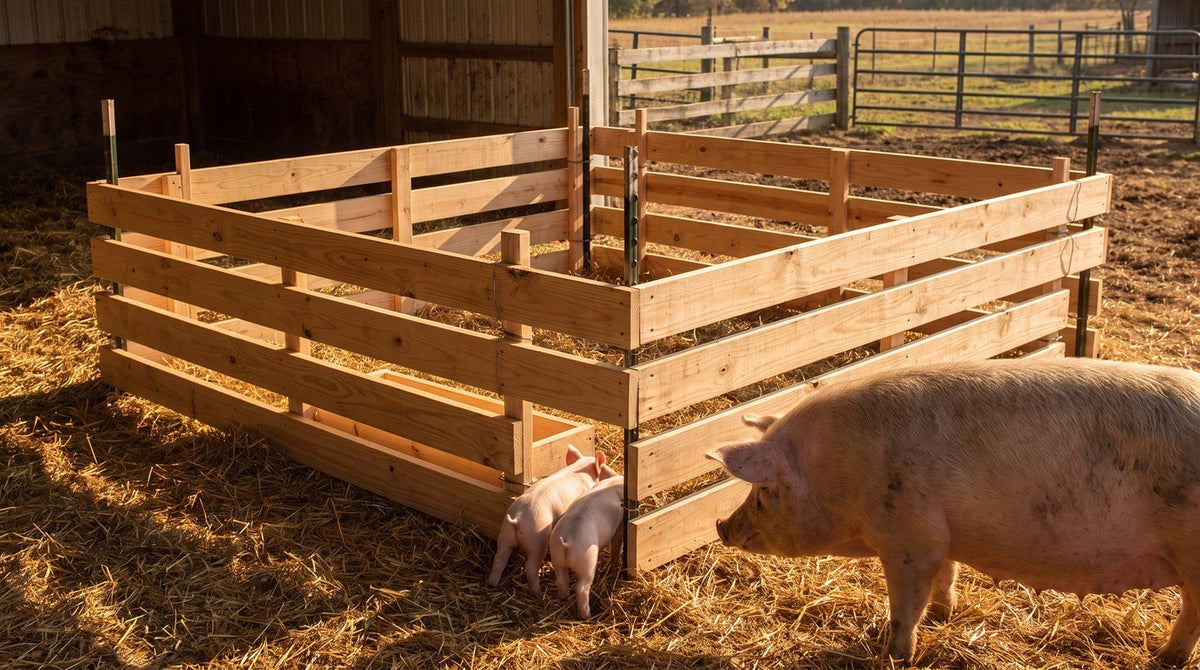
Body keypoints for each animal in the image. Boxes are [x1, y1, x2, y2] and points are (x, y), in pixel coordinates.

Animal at [487, 445, 607, 598]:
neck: (581, 469)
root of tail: (518, 518)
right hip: (536, 538)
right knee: (530, 566)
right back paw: (538, 594)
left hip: (505, 534)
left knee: (499, 558)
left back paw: (491, 584)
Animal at [548, 475, 625, 618]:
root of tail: (567, 540)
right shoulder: (619, 525)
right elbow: (616, 543)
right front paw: (614, 566)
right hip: (587, 560)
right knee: (582, 588)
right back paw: (587, 616)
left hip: (556, 556)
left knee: (561, 580)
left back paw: (564, 598)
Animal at [708, 358, 1200, 666]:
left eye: (763, 489)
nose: (721, 525)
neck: (840, 469)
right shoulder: (943, 534)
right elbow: (947, 574)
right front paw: (944, 616)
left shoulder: (909, 538)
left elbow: (906, 605)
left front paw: (893, 655)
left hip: (1191, 550)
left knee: (1192, 613)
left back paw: (1165, 659)